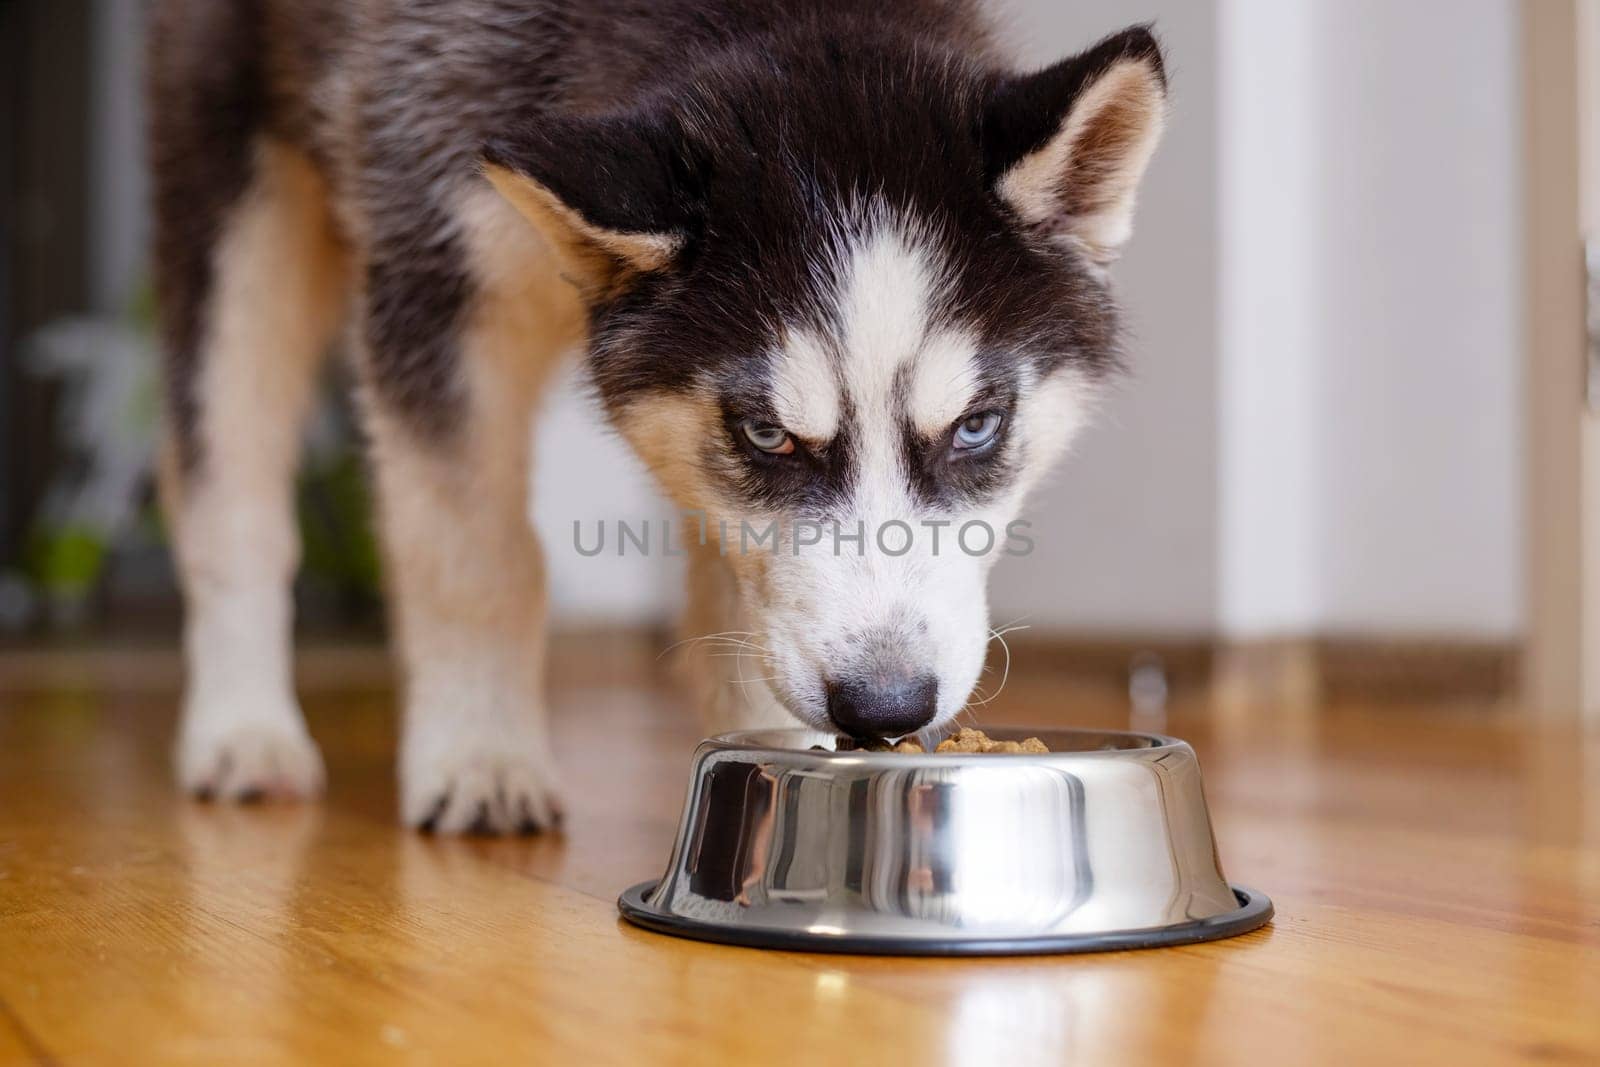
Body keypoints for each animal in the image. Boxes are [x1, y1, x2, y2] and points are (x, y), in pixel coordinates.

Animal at [147, 2, 1164, 831]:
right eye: (766, 432)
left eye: (978, 425)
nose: (885, 705)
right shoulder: (435, 266)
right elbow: (471, 555)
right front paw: (480, 752)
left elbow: (739, 587)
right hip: (244, 204)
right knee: (227, 476)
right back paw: (243, 729)